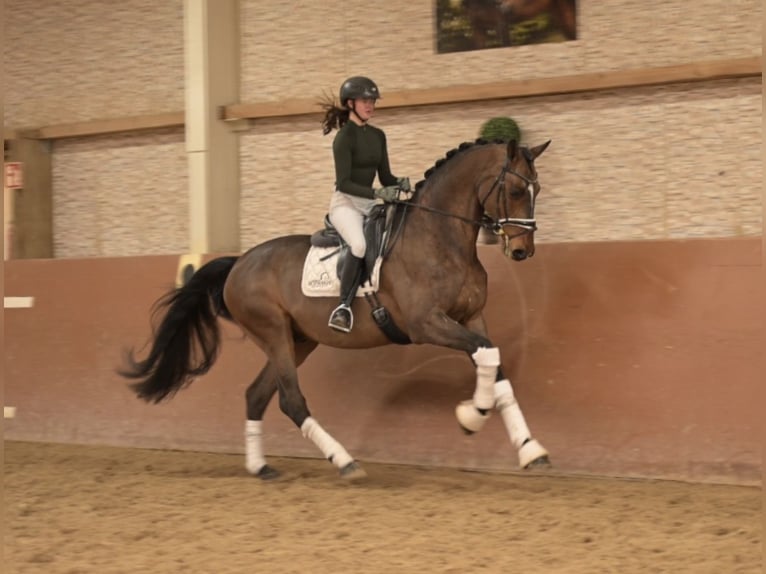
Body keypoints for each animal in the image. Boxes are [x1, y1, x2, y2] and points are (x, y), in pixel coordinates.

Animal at [120, 138, 552, 480]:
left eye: (538, 190)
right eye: (516, 190)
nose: (522, 251)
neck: (441, 238)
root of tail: (238, 263)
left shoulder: (470, 318)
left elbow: (493, 362)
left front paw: (529, 448)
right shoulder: (426, 324)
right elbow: (487, 355)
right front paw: (471, 416)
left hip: (298, 341)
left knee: (257, 395)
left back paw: (260, 467)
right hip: (274, 333)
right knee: (291, 400)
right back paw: (344, 461)